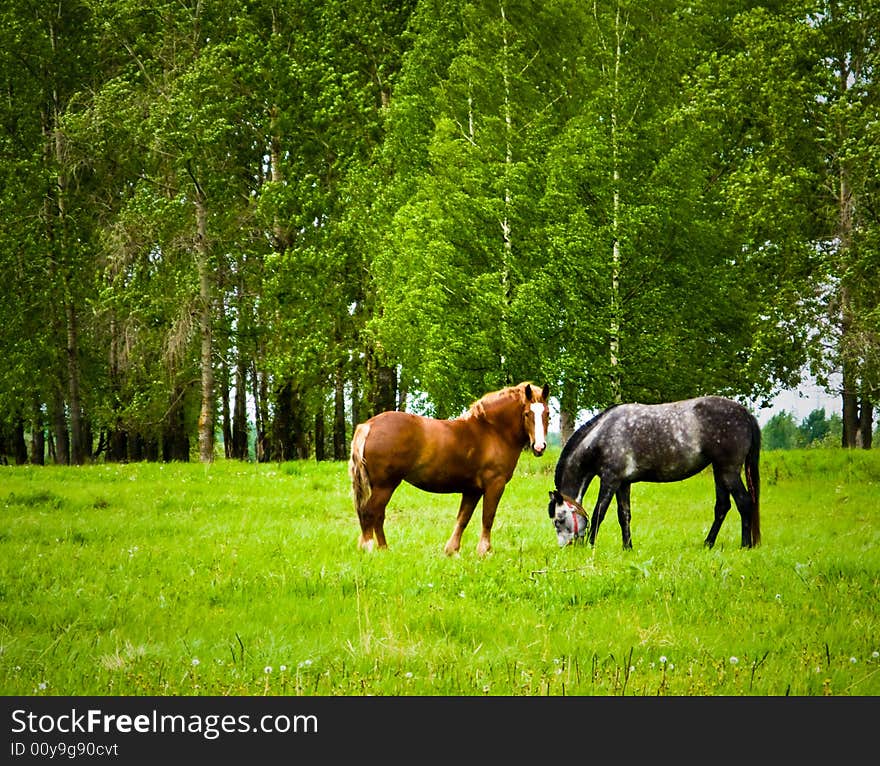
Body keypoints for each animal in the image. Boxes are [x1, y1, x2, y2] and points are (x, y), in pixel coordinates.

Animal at [346, 384, 548, 560]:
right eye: (527, 413)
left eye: (547, 413)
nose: (539, 447)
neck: (492, 431)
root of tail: (368, 426)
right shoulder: (494, 485)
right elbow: (487, 517)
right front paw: (484, 551)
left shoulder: (472, 490)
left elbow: (463, 518)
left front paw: (452, 550)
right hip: (385, 485)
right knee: (369, 512)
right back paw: (369, 548)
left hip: (382, 486)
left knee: (378, 514)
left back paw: (384, 549)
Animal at [548, 396, 760, 552]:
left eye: (559, 520)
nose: (565, 548)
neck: (602, 436)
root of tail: (745, 414)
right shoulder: (623, 483)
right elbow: (624, 515)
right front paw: (628, 547)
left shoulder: (610, 480)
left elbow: (599, 512)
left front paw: (591, 546)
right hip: (719, 471)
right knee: (722, 507)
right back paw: (708, 544)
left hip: (729, 471)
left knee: (744, 502)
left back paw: (745, 545)